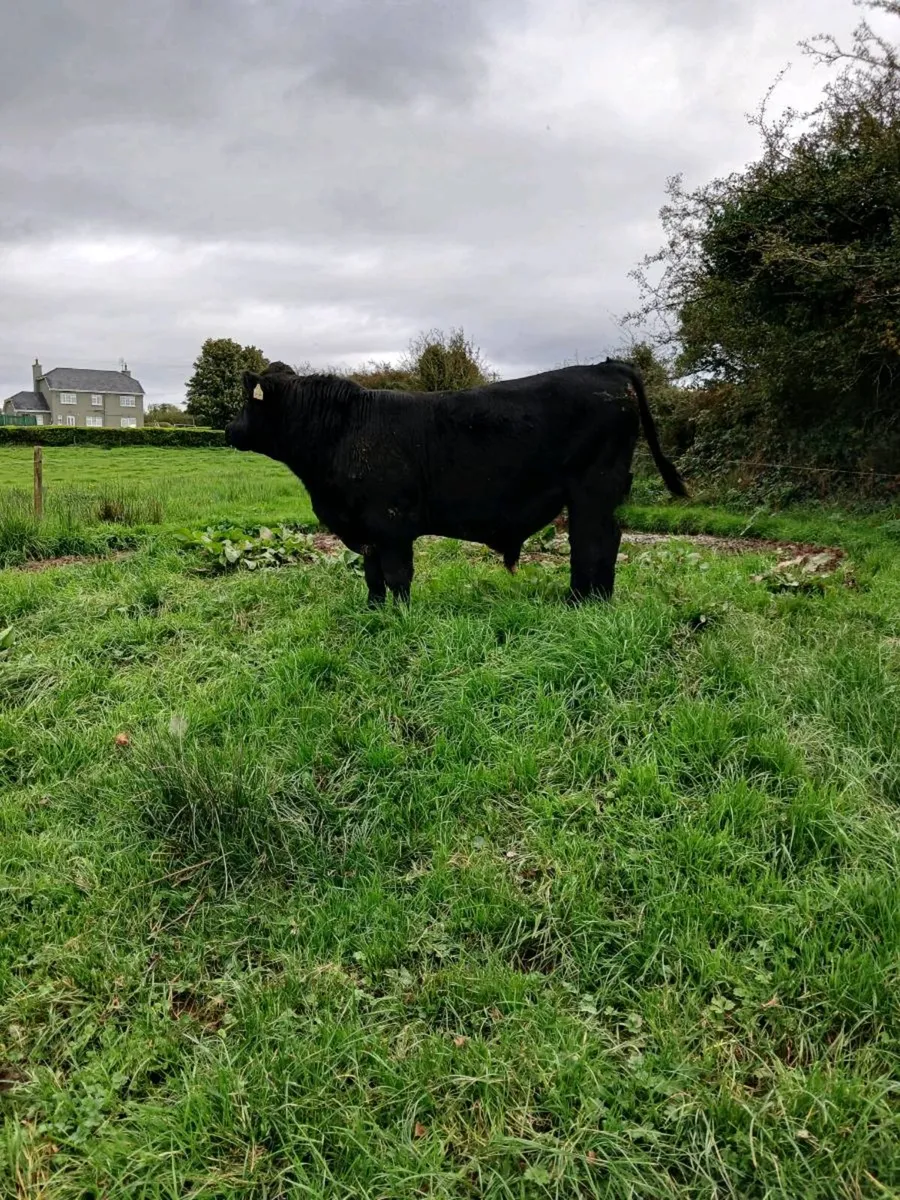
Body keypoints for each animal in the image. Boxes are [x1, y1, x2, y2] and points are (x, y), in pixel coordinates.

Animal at [225, 358, 687, 607]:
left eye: (246, 401)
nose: (229, 430)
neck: (344, 430)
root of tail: (607, 367)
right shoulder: (368, 530)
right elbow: (373, 577)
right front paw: (374, 612)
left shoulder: (391, 524)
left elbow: (397, 576)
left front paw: (400, 616)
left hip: (596, 489)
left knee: (595, 542)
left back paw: (585, 602)